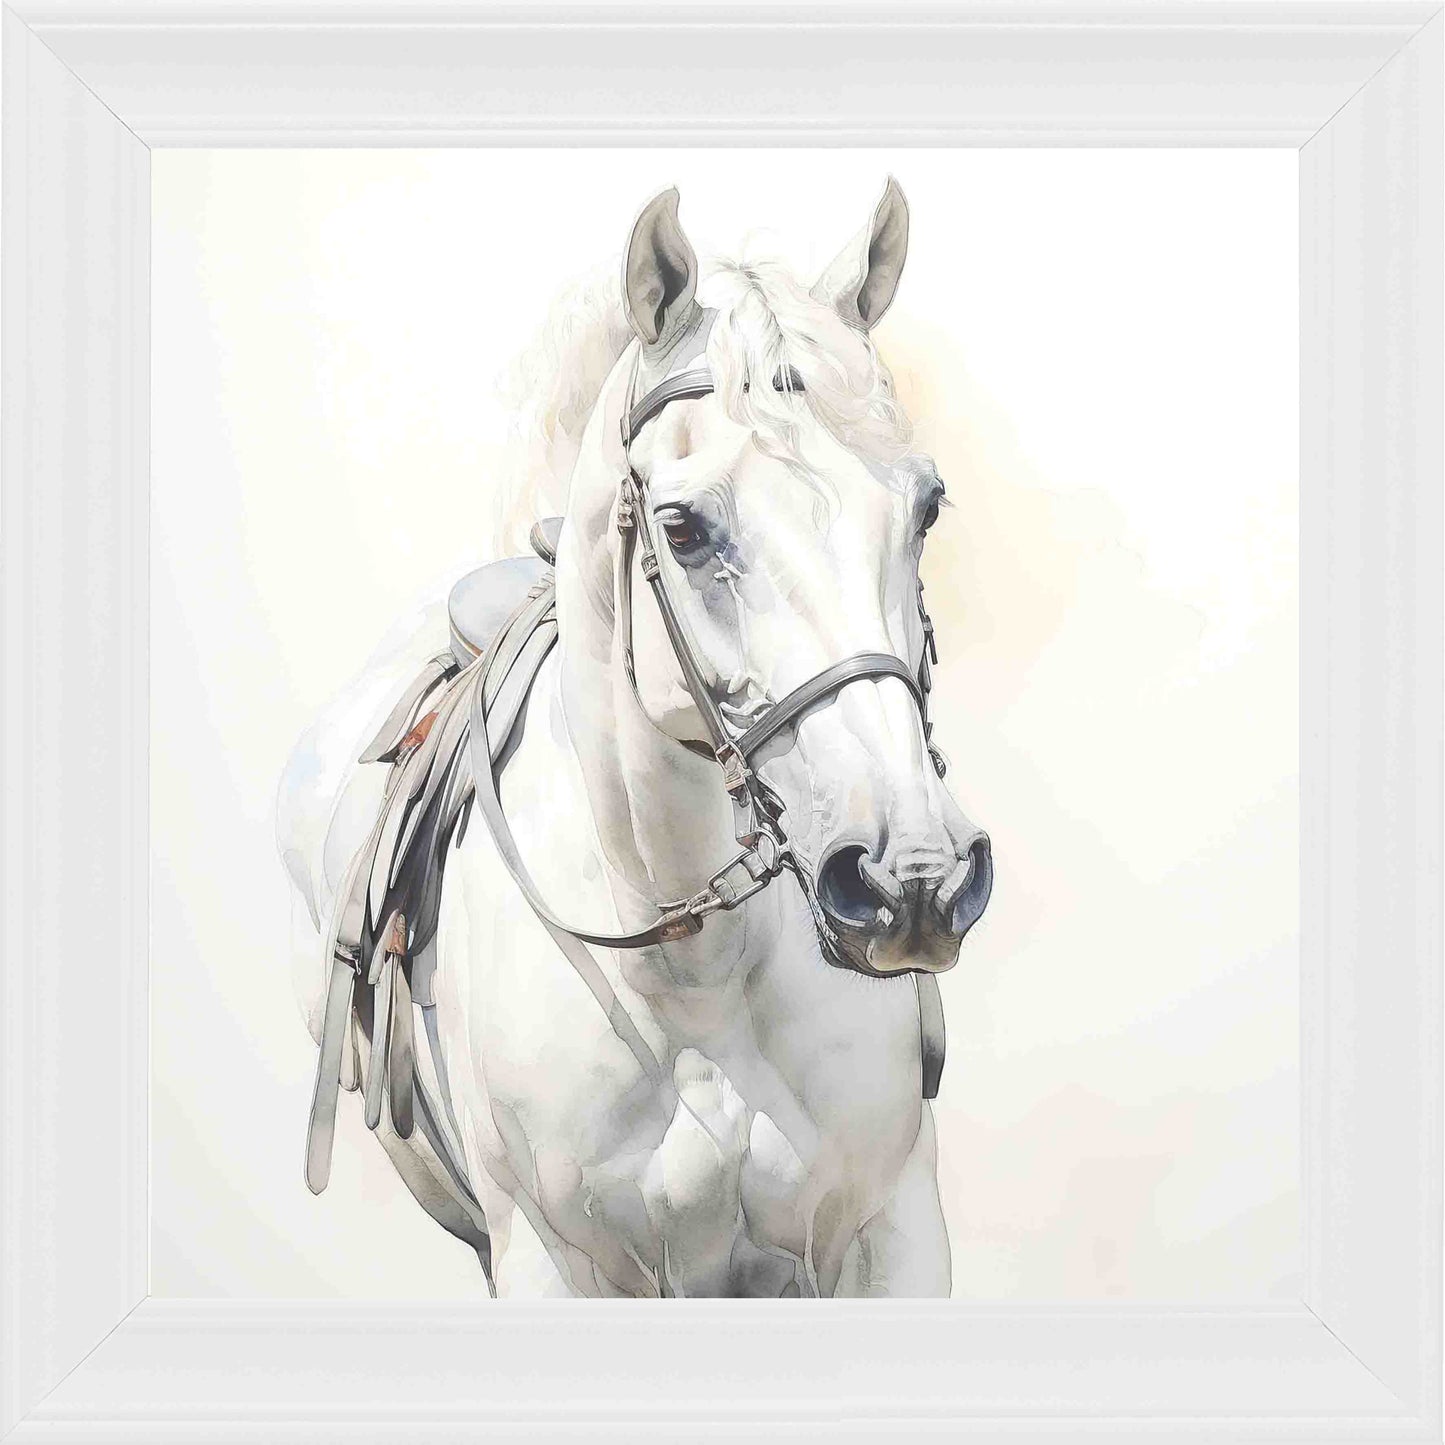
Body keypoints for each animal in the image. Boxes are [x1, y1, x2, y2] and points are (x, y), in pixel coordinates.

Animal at [276, 179, 993, 1299]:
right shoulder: (552, 1261)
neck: (690, 978)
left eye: (926, 505)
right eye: (685, 528)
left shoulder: (894, 1234)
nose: (910, 879)